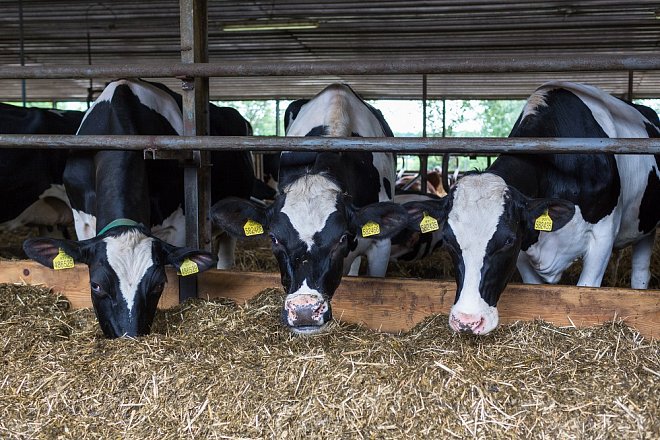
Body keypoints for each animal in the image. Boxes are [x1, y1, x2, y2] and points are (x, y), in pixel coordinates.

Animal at [404, 81, 656, 334]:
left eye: (508, 241)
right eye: (447, 240)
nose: (467, 321)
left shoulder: (602, 236)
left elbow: (586, 289)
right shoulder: (525, 245)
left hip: (647, 228)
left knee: (640, 273)